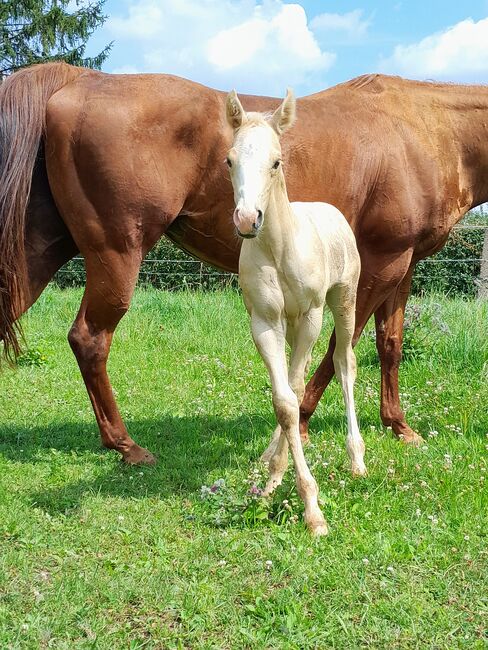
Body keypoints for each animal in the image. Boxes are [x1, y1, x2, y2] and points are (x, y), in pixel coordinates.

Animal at [0, 63, 488, 464]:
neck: (423, 129)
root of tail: (79, 78)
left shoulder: (401, 267)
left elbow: (389, 345)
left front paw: (399, 426)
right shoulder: (378, 266)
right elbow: (340, 348)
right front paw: (302, 422)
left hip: (41, 252)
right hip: (116, 256)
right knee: (90, 339)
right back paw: (126, 445)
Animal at [225, 90, 366, 536]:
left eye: (276, 161)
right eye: (229, 160)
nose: (247, 219)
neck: (279, 247)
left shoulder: (311, 317)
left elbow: (301, 388)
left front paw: (313, 510)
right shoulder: (264, 322)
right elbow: (285, 400)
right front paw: (276, 479)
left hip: (345, 301)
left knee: (343, 364)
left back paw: (357, 458)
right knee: (292, 382)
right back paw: (270, 458)